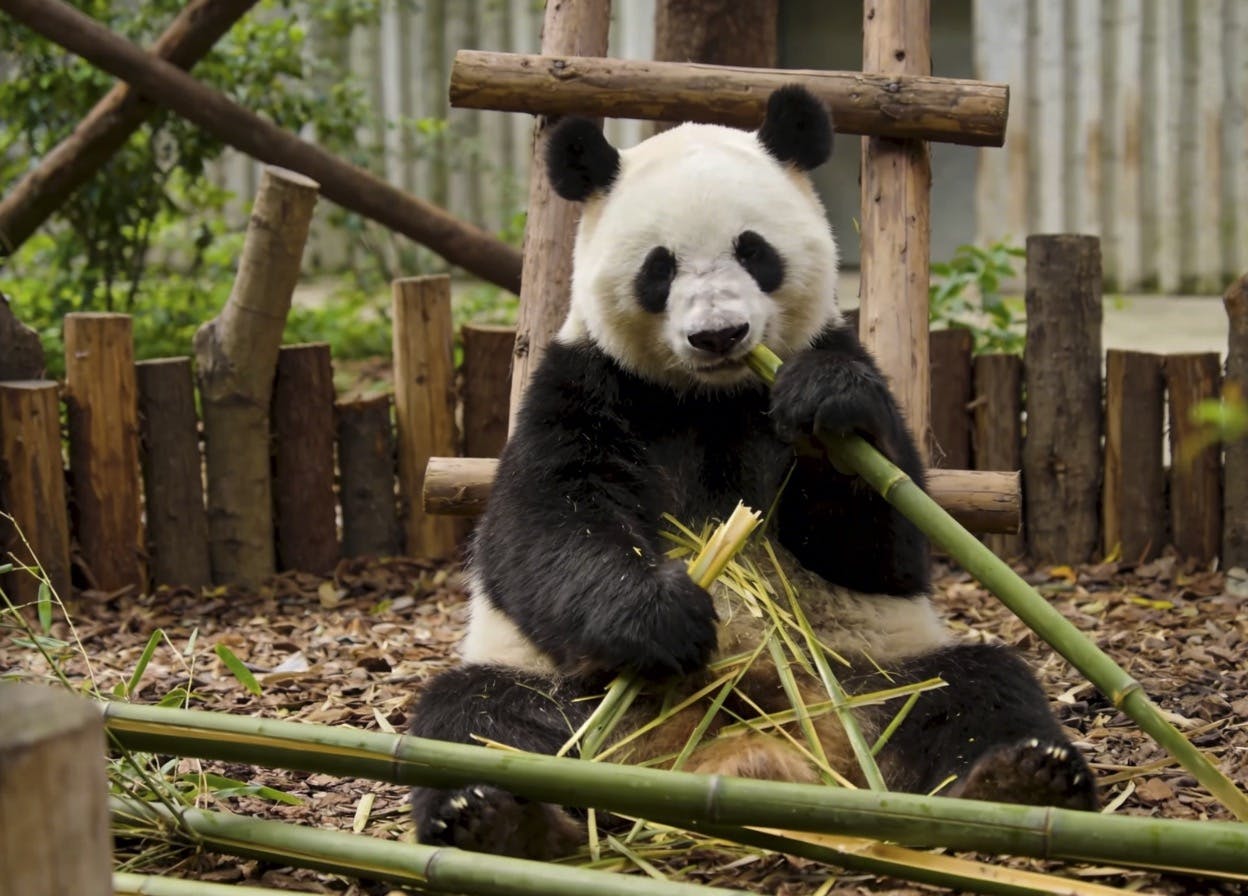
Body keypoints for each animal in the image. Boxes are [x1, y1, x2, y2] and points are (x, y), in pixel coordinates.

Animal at [409, 85, 1097, 859]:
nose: (719, 335)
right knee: (475, 717)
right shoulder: (586, 382)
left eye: (753, 250)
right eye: (660, 267)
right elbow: (539, 528)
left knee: (973, 687)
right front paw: (661, 614)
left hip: (866, 677)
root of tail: (745, 752)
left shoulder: (833, 358)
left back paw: (1019, 780)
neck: (711, 396)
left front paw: (827, 408)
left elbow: (890, 548)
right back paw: (497, 816)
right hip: (572, 700)